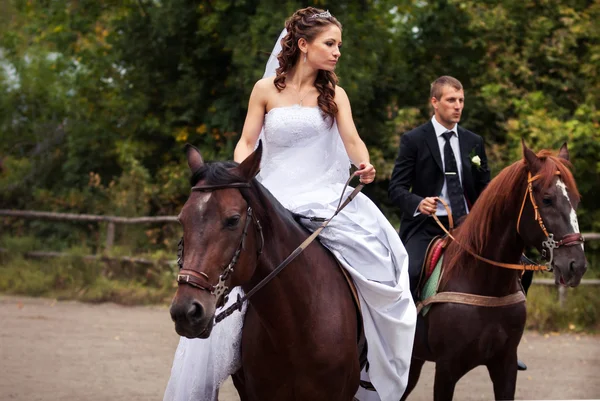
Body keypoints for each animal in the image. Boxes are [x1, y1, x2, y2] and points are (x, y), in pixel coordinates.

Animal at [404, 139, 584, 398]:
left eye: (576, 200)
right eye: (547, 199)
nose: (576, 265)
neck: (483, 282)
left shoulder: (505, 366)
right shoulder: (446, 369)